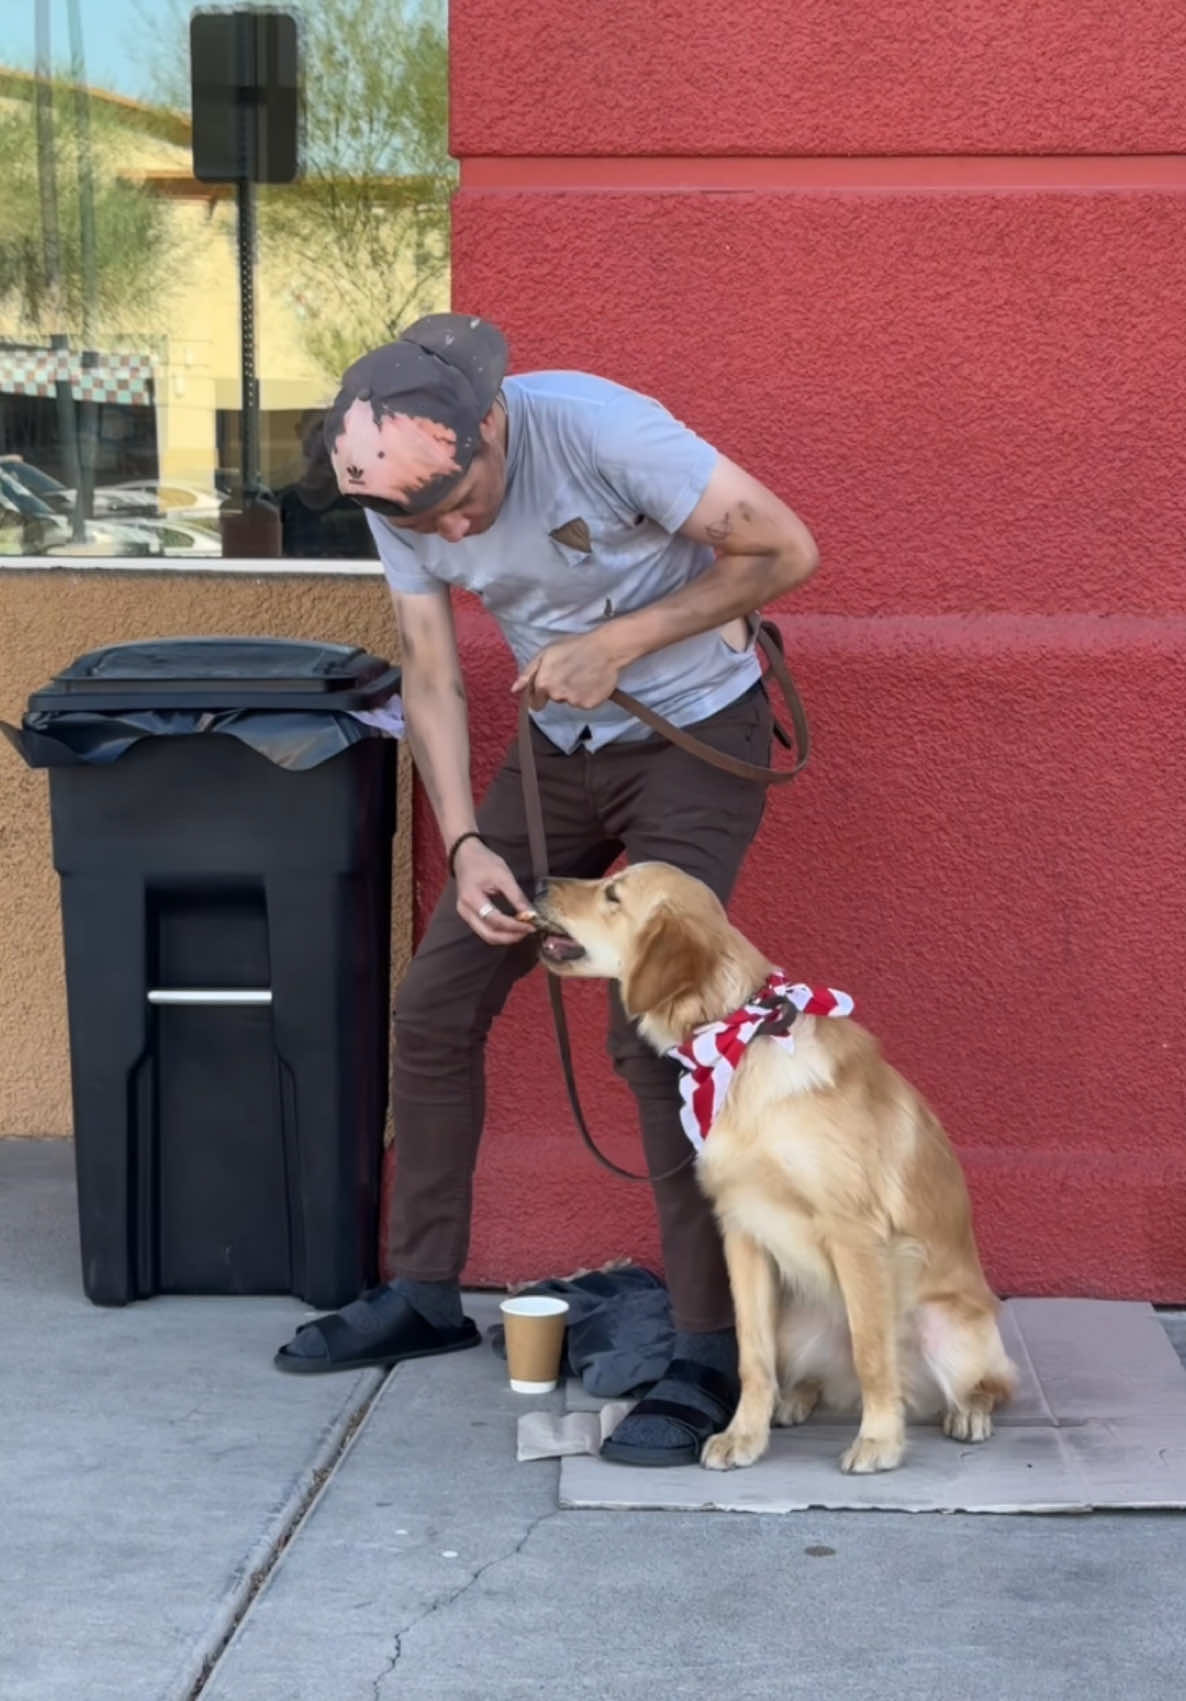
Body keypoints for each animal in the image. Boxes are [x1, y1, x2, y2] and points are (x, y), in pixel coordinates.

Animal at [530, 864, 1014, 1476]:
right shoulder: (742, 1230)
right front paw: (745, 1434)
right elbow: (751, 1357)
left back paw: (967, 1411)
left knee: (982, 1385)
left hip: (952, 1331)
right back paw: (795, 1400)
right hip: (796, 1322)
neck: (738, 1045)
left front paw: (879, 1441)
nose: (538, 882)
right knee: (822, 1377)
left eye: (612, 894)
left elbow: (873, 1353)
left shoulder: (855, 1232)